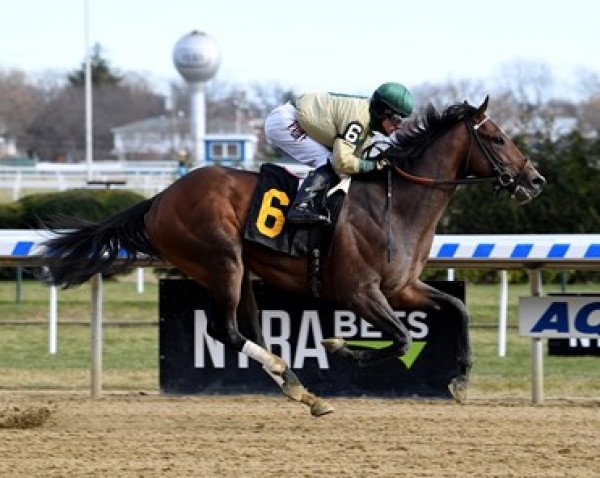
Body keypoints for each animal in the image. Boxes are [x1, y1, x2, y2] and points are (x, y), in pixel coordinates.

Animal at [38, 96, 544, 414]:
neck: (395, 205)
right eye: (497, 139)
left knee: (250, 329)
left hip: (240, 272)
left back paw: (301, 391)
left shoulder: (402, 288)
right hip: (221, 261)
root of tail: (160, 198)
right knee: (224, 330)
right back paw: (289, 373)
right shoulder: (360, 292)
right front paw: (339, 347)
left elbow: (456, 307)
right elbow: (401, 339)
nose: (534, 179)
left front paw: (460, 381)